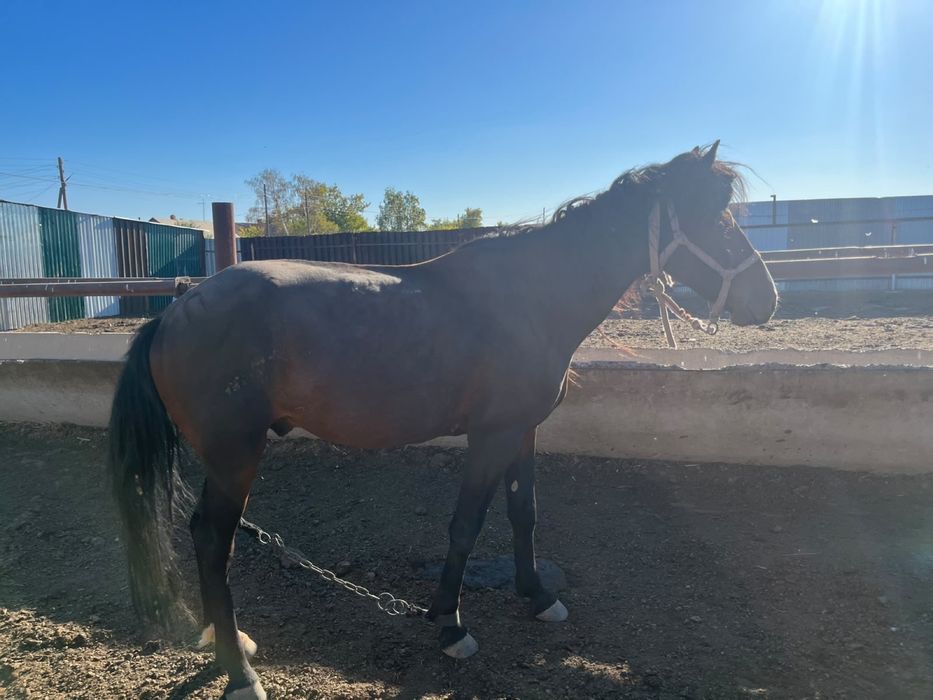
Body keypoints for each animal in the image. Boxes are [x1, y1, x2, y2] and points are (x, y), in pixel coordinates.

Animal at [108, 142, 777, 699]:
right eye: (714, 218)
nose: (767, 301)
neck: (530, 298)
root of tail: (176, 311)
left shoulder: (523, 431)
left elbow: (523, 514)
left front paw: (537, 597)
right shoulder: (489, 436)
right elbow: (466, 525)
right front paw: (451, 626)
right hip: (234, 456)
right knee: (210, 540)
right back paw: (240, 672)